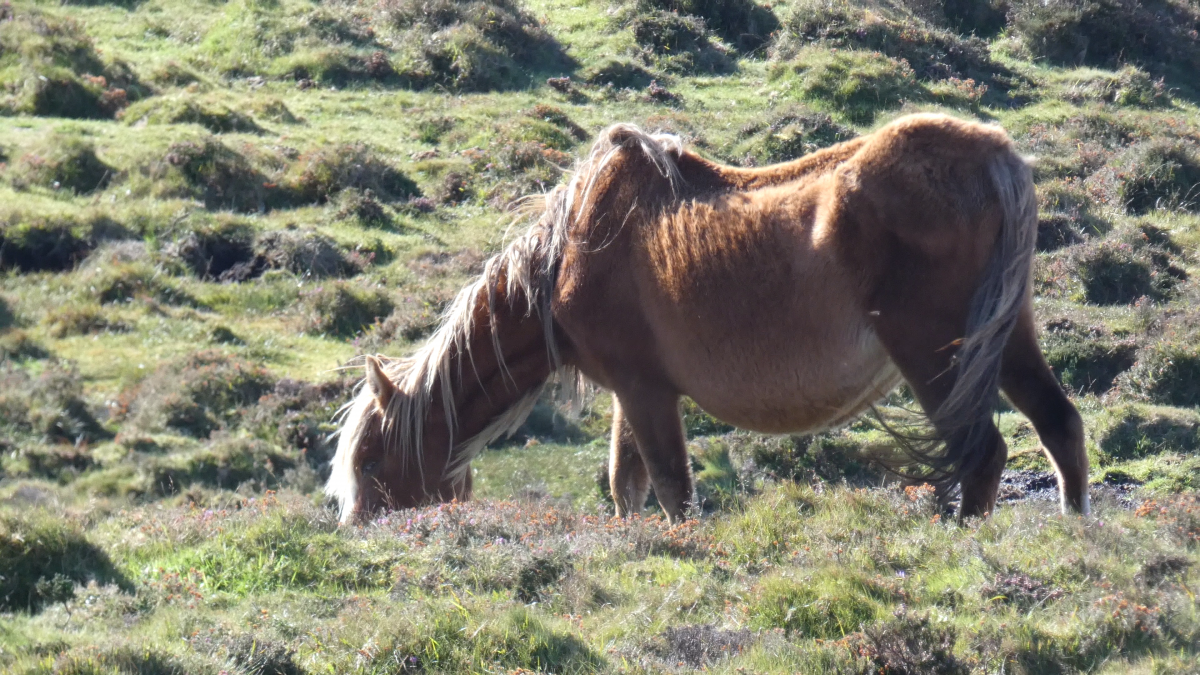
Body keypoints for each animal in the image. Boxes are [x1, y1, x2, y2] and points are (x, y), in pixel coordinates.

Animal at [326, 112, 1089, 525]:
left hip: (933, 350)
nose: (361, 530)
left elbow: (669, 487)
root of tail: (997, 160)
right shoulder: (629, 393)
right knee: (1059, 424)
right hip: (1007, 336)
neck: (569, 254)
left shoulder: (646, 391)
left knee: (983, 454)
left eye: (371, 460)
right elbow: (625, 484)